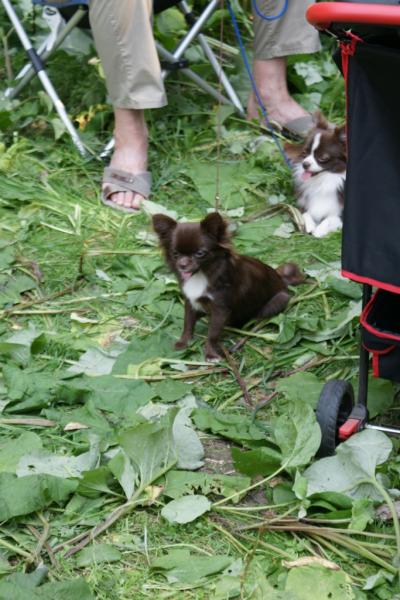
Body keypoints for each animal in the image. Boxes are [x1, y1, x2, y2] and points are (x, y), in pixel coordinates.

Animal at [152, 212, 304, 361]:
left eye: (200, 253)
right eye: (175, 253)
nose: (182, 265)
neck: (201, 274)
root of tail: (281, 279)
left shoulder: (220, 309)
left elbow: (212, 333)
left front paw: (211, 354)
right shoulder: (191, 301)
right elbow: (188, 323)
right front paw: (184, 342)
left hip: (278, 300)